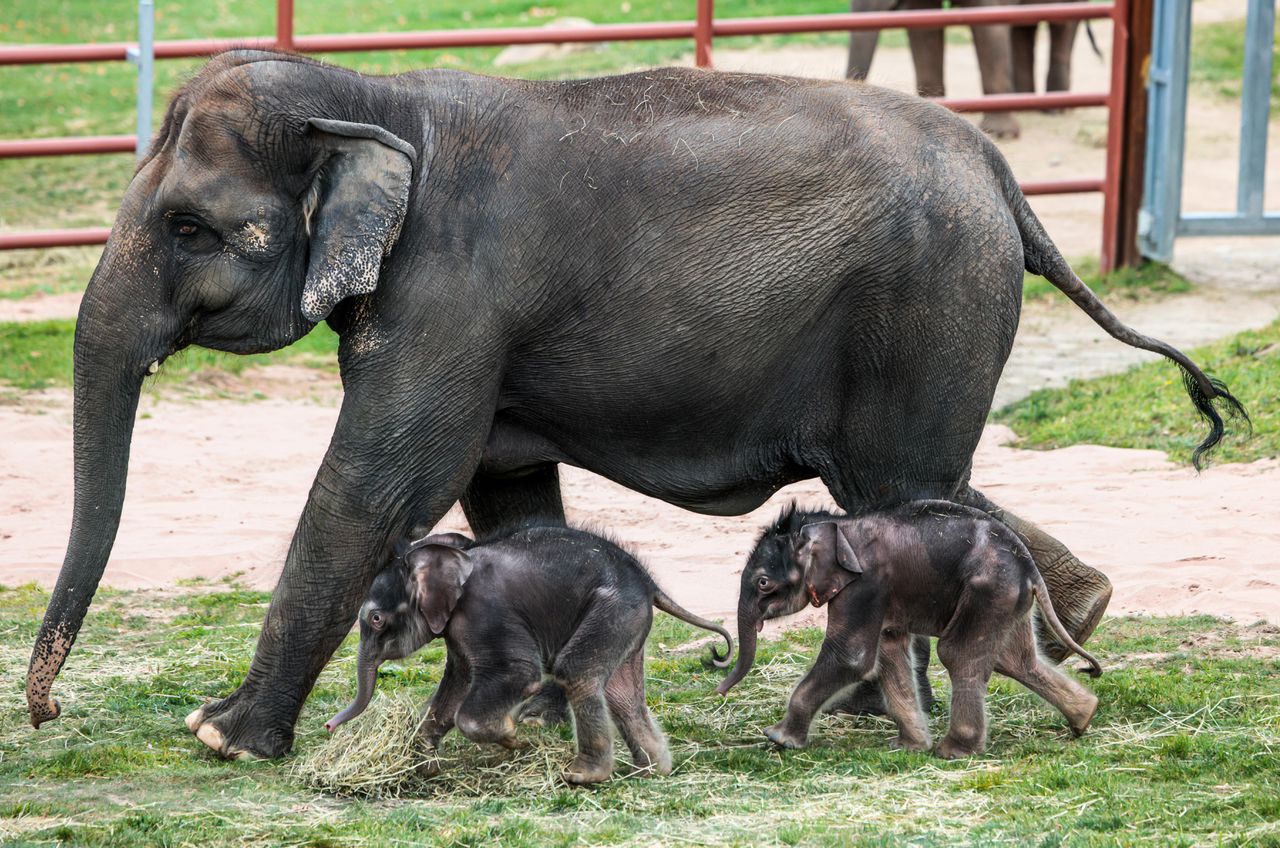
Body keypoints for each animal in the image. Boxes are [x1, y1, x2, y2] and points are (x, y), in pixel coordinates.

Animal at [325, 527, 737, 789]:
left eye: (375, 619)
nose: (329, 727)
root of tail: (648, 582)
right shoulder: (458, 631)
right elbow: (457, 682)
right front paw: (424, 766)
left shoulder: (486, 613)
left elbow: (518, 674)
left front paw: (514, 737)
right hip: (628, 620)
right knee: (621, 694)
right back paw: (653, 771)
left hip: (613, 608)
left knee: (577, 672)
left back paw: (583, 776)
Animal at [721, 504, 1100, 763]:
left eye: (763, 583)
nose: (719, 687)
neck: (837, 524)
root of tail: (1029, 569)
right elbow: (889, 652)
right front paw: (908, 747)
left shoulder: (866, 585)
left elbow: (852, 657)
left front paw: (777, 738)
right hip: (1006, 599)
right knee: (1018, 661)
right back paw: (1085, 717)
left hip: (988, 590)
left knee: (958, 654)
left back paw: (954, 752)